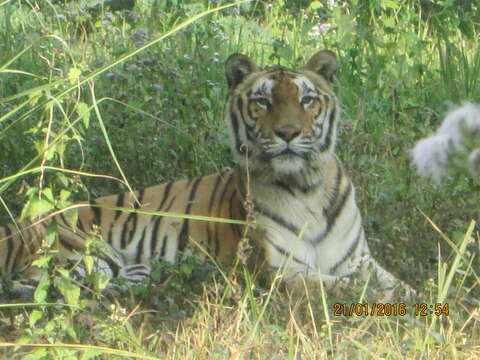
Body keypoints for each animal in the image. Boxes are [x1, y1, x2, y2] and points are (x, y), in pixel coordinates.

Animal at [0, 50, 404, 298]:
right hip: (81, 254)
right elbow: (352, 291)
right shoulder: (280, 271)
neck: (308, 189)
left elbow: (401, 286)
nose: (287, 132)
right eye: (263, 101)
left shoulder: (362, 262)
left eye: (306, 100)